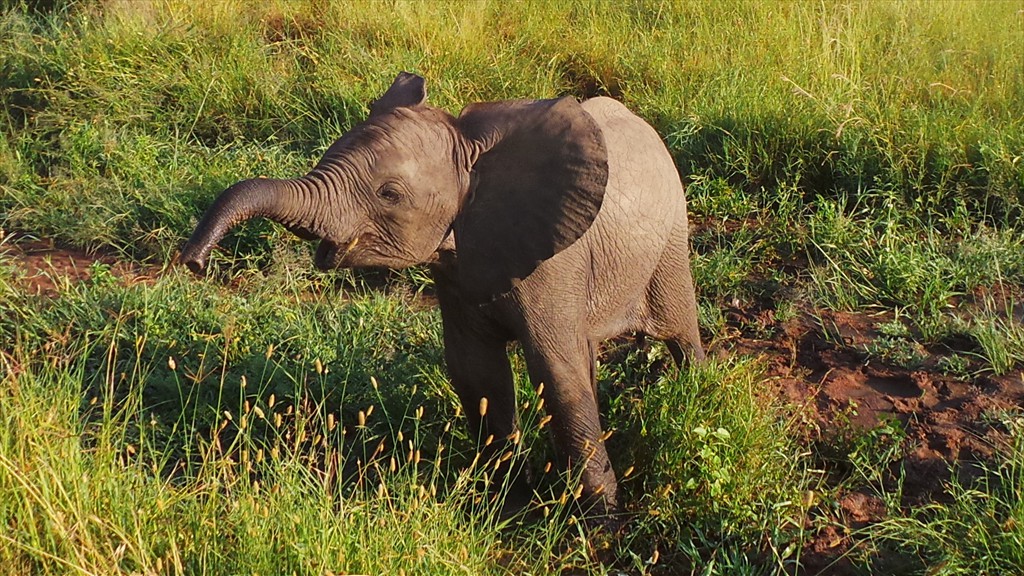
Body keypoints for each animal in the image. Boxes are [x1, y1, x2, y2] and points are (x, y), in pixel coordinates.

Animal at [180, 71, 700, 510]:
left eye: (389, 194)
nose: (194, 261)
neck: (474, 153)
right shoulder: (456, 270)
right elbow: (477, 374)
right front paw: (505, 502)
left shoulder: (556, 263)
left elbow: (556, 373)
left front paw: (599, 521)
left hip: (671, 239)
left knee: (680, 332)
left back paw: (696, 389)